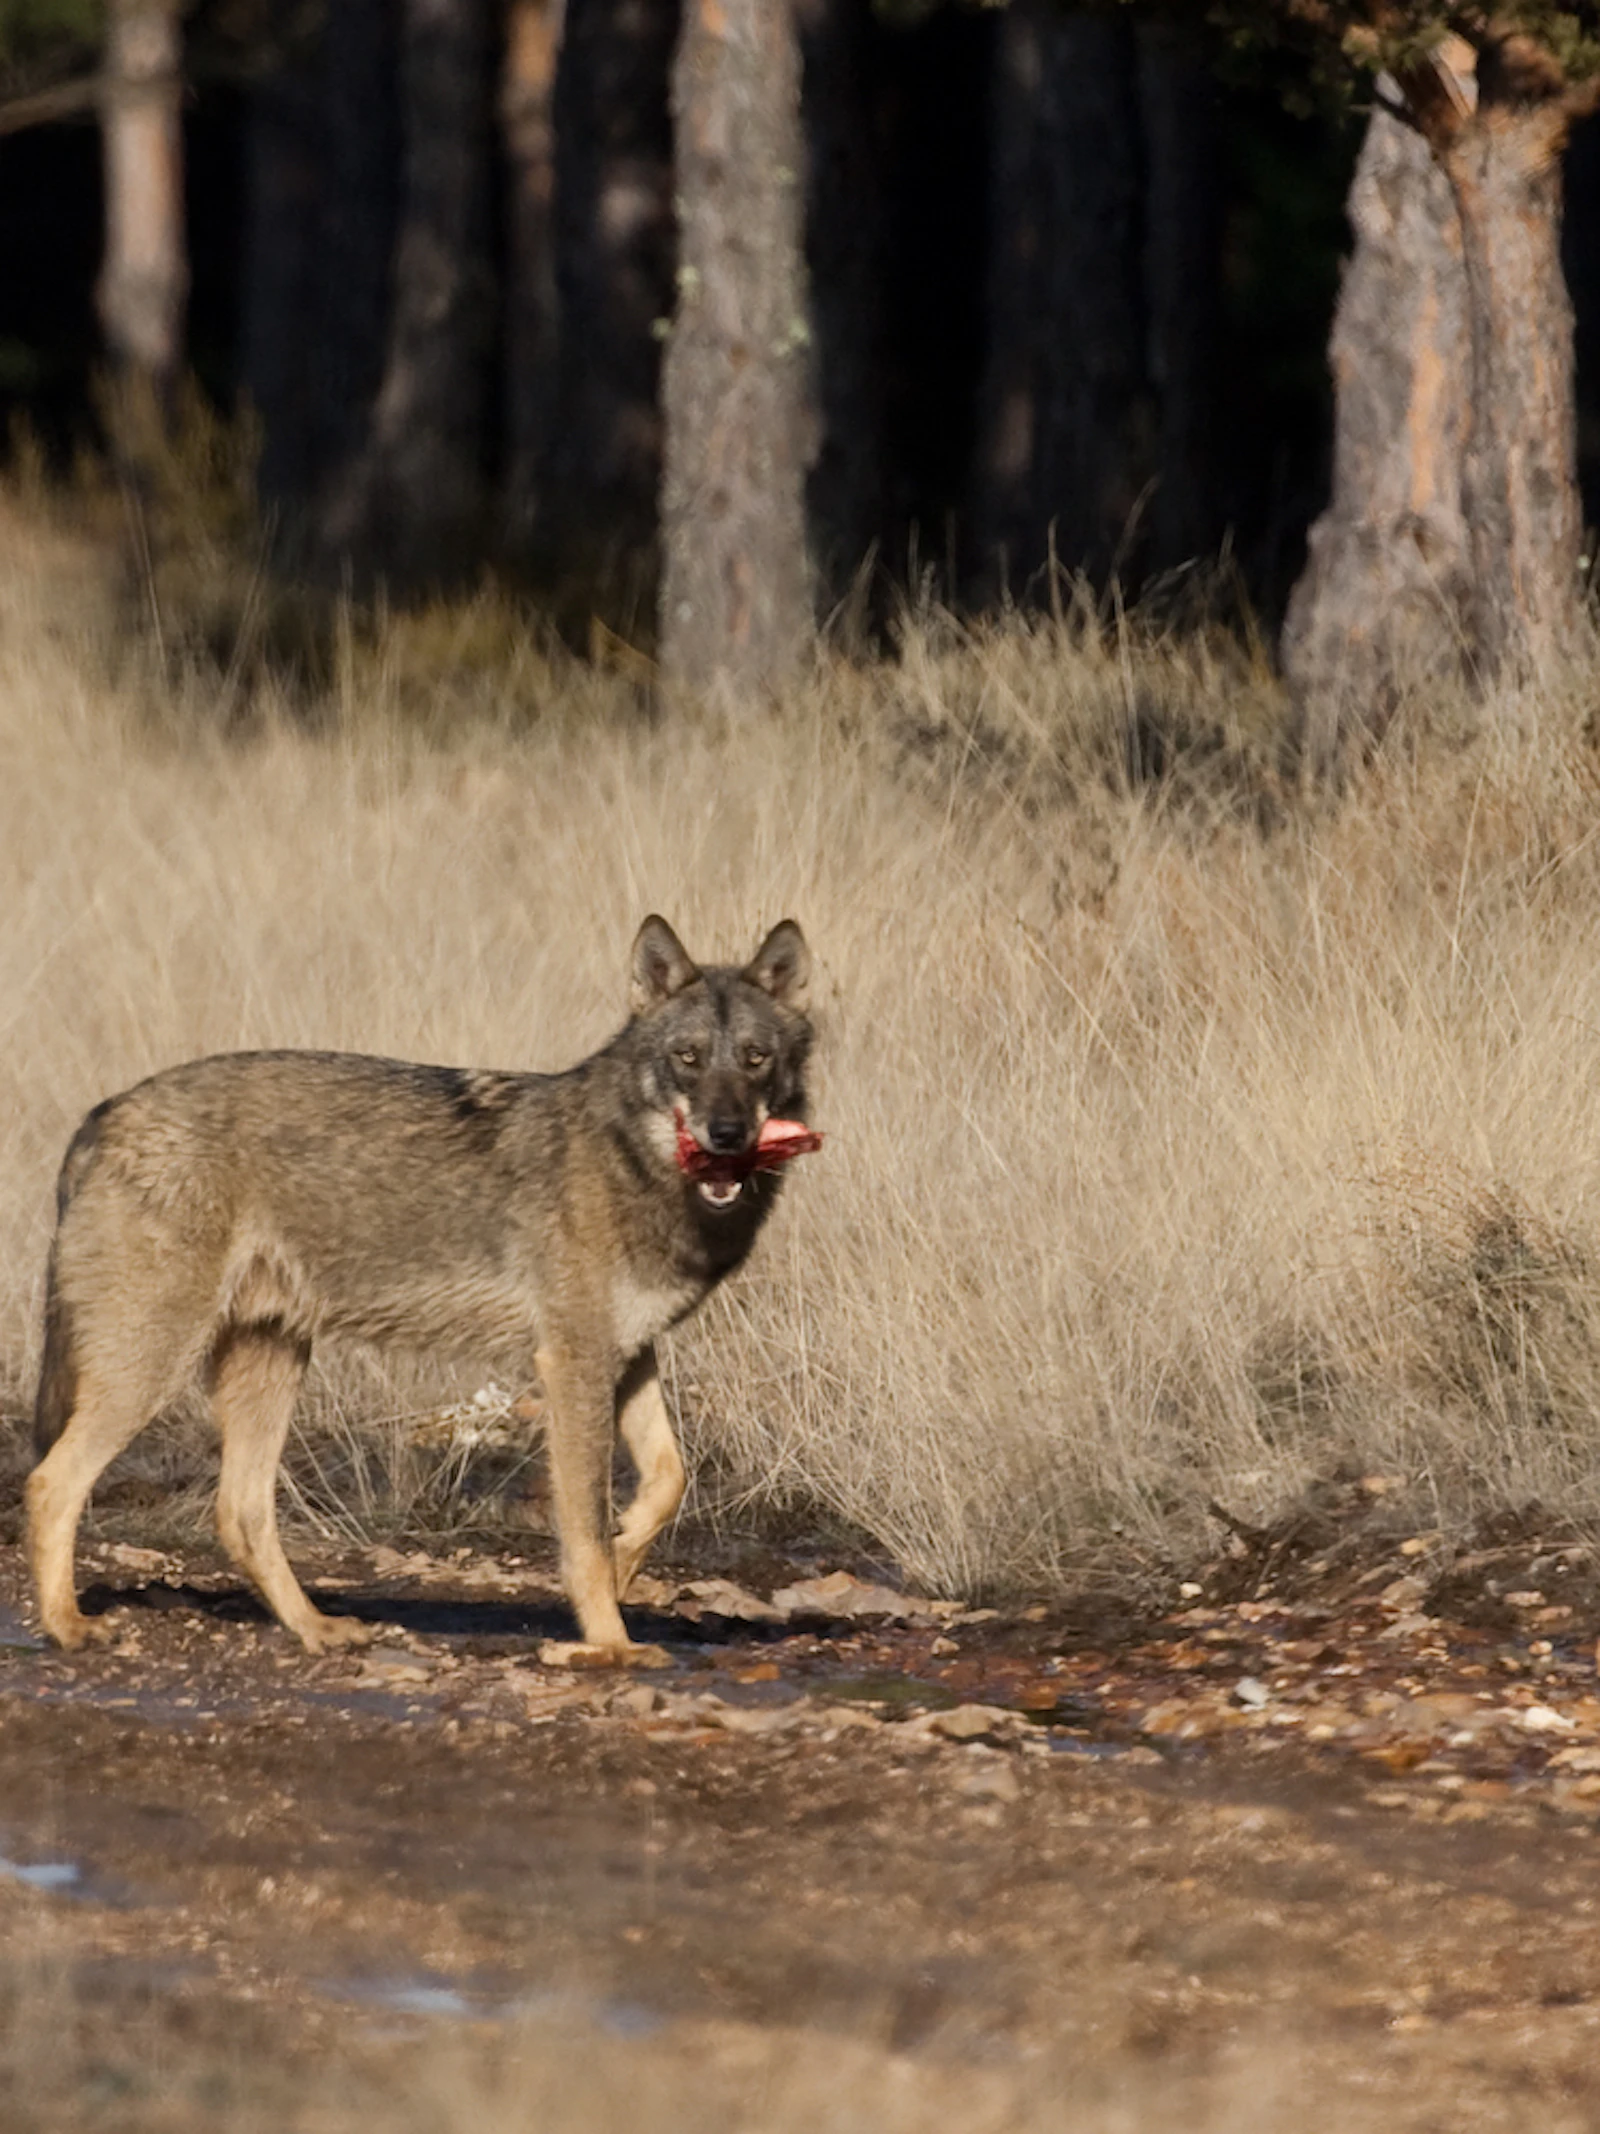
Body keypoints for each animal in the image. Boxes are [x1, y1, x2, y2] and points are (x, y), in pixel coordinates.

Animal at [26, 915, 814, 1663]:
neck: (637, 1166)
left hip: (269, 1364)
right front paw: (612, 1644)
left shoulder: (626, 1354)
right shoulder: (573, 1363)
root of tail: (105, 1112)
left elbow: (666, 1481)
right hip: (152, 1369)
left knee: (238, 1513)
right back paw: (67, 1627)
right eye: (688, 1058)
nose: (726, 1133)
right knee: (51, 1483)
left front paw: (624, 1568)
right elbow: (585, 1526)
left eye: (755, 1058)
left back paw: (317, 1630)